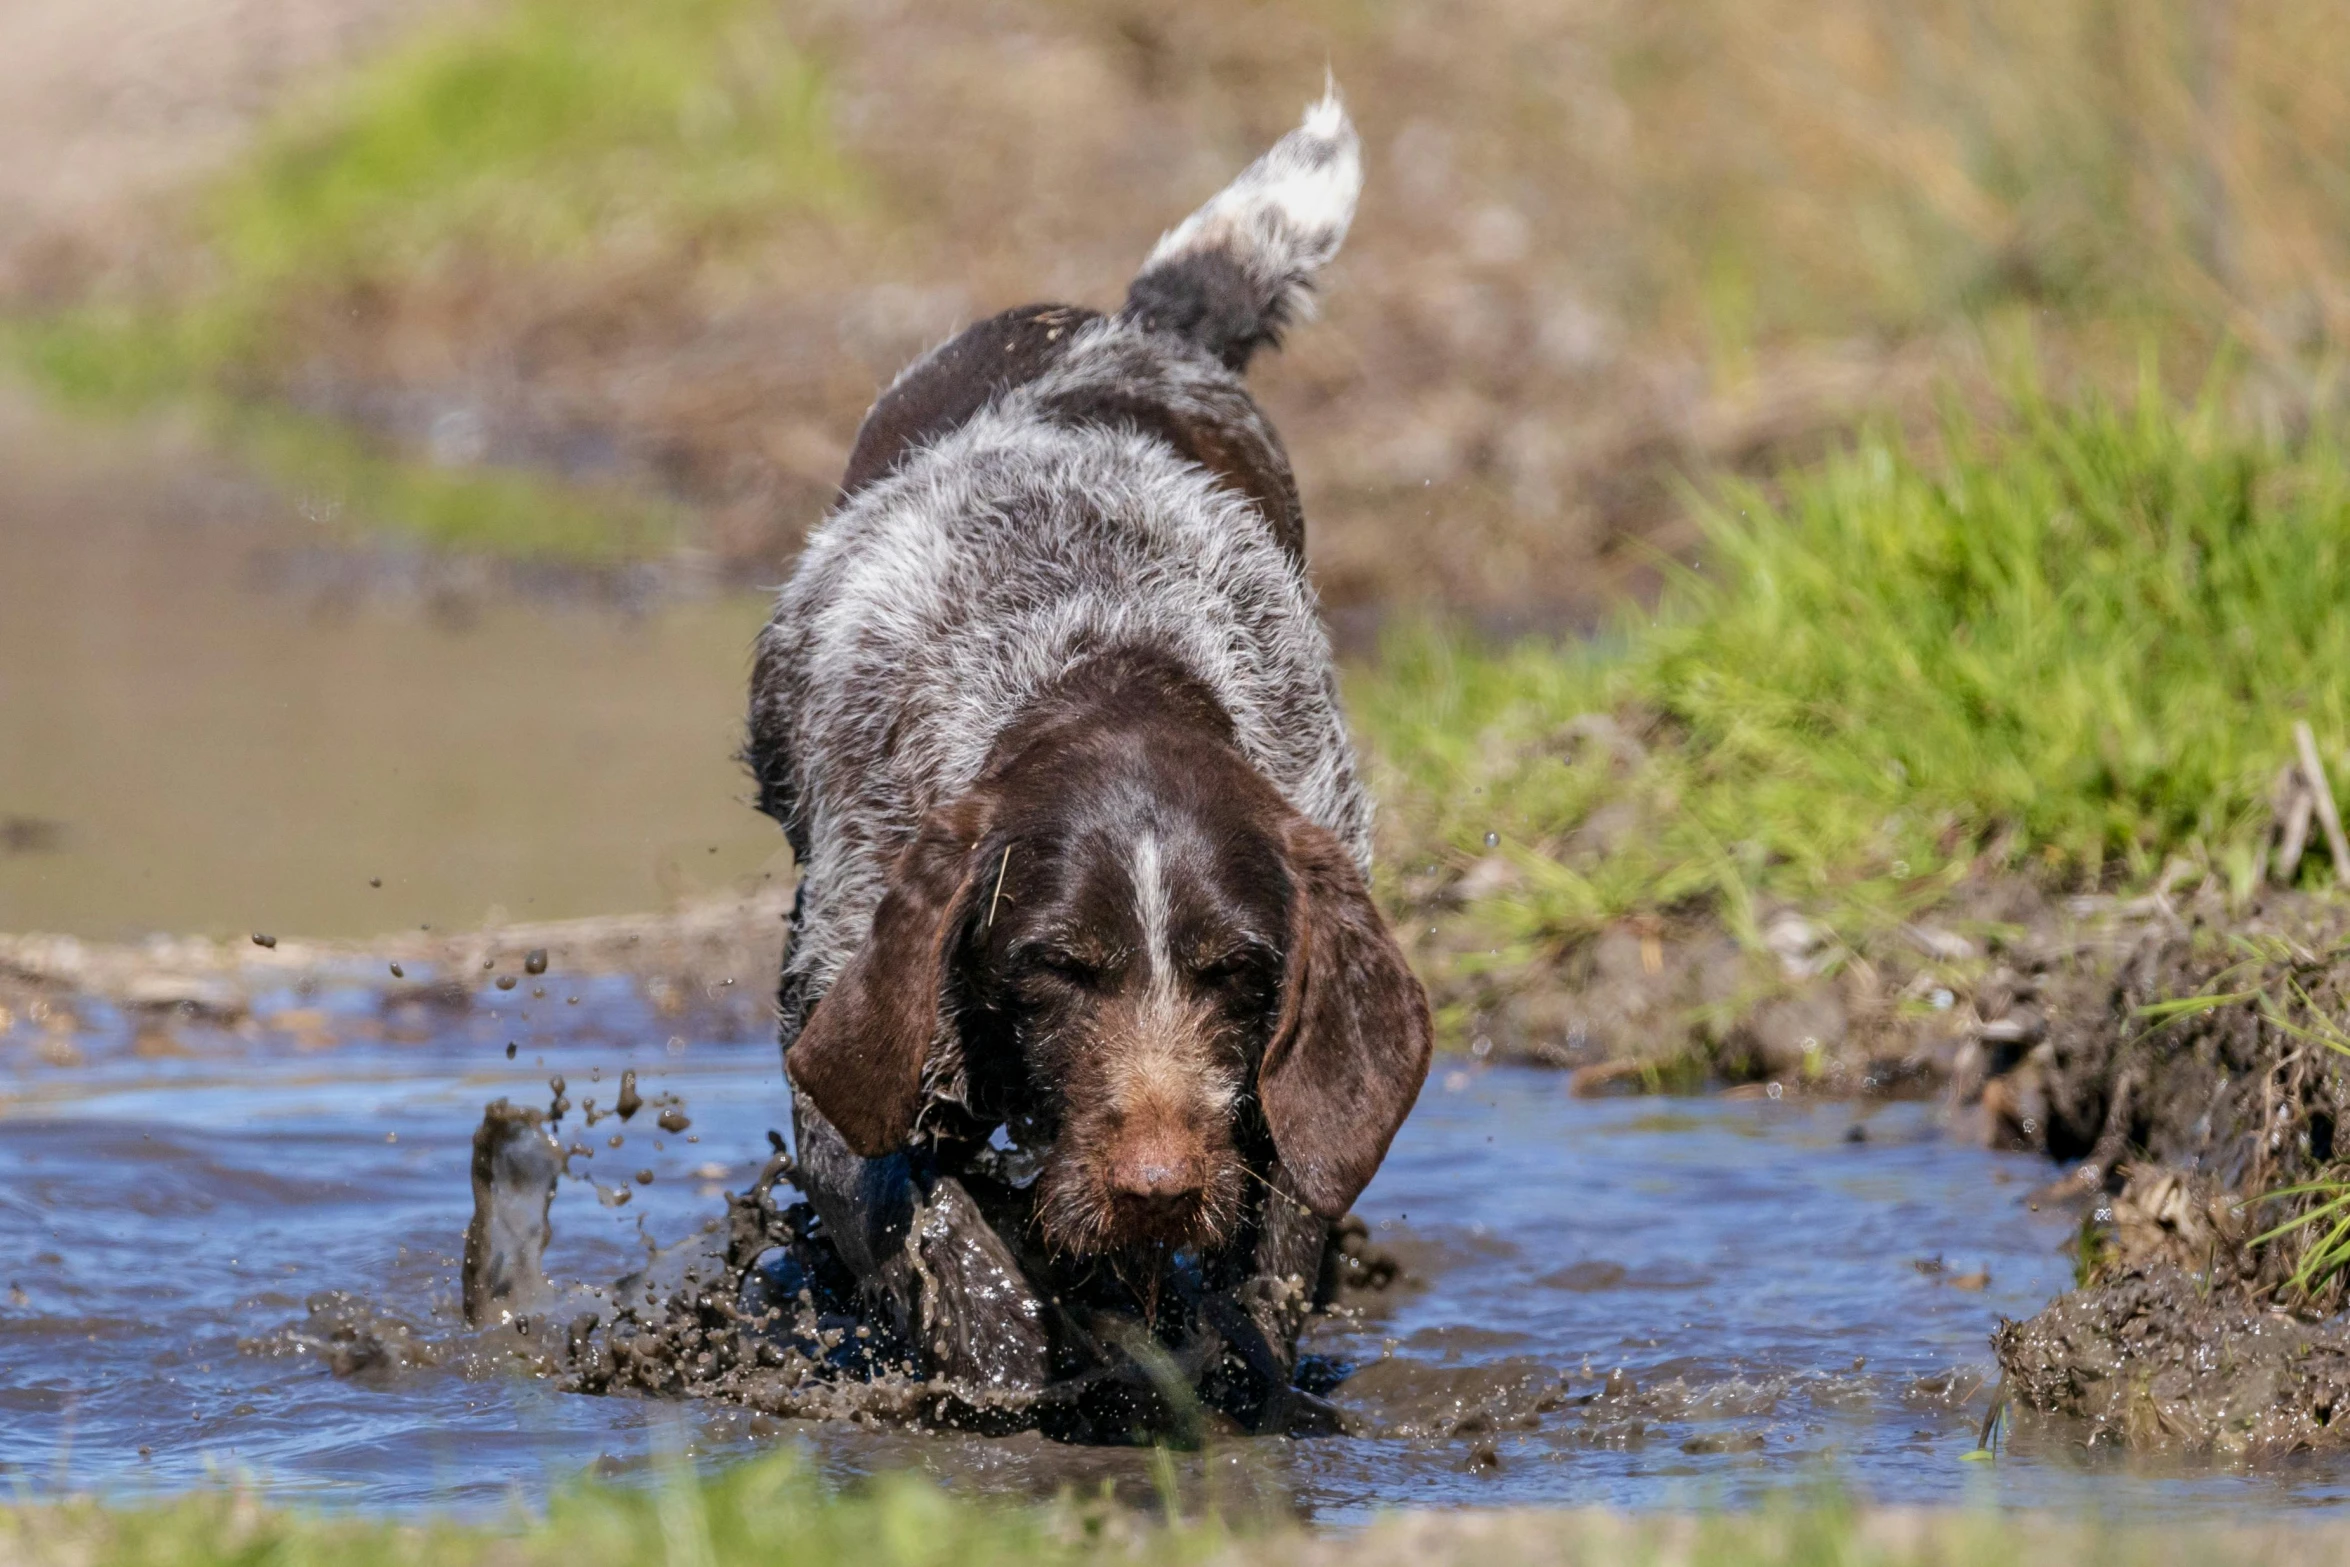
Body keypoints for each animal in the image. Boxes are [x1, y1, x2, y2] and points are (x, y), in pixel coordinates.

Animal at [747, 88, 1428, 1437]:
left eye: (1237, 973)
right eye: (1056, 966)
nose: (1156, 1185)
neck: (1098, 653)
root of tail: (1132, 327)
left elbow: (1270, 1249)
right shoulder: (846, 1017)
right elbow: (955, 1253)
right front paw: (1013, 1377)